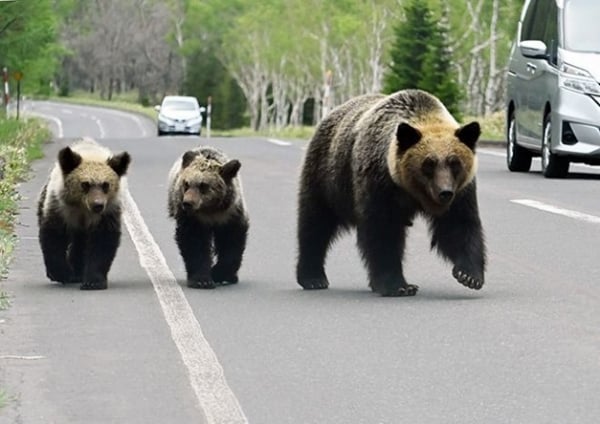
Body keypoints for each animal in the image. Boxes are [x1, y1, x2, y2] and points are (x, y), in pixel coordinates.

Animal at [38, 137, 132, 290]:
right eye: (85, 184)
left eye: (106, 185)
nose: (98, 205)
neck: (83, 208)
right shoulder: (60, 208)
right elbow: (54, 237)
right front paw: (61, 273)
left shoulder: (107, 213)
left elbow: (102, 241)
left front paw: (93, 281)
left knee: (81, 244)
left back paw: (78, 272)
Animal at [166, 146, 248, 288]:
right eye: (186, 184)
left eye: (203, 185)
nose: (187, 203)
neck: (210, 210)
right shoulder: (193, 219)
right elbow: (194, 243)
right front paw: (202, 280)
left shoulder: (230, 214)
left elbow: (232, 241)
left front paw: (220, 274)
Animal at [298, 88, 486, 296]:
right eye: (428, 164)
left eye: (455, 163)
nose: (445, 192)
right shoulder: (379, 182)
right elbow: (383, 231)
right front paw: (398, 285)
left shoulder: (462, 191)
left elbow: (458, 225)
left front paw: (469, 275)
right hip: (328, 175)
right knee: (316, 222)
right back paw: (313, 278)